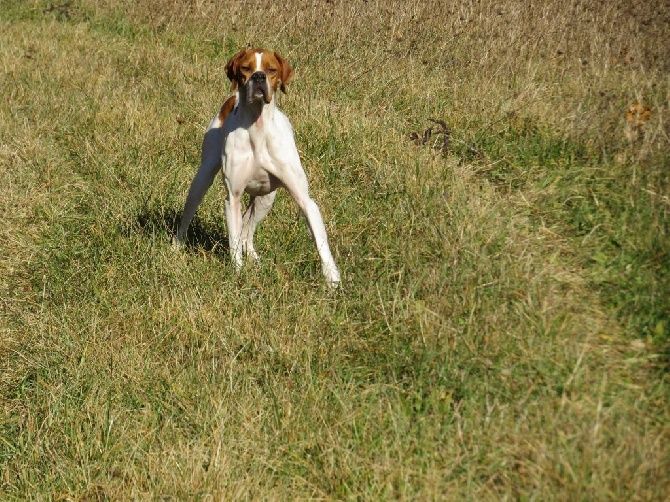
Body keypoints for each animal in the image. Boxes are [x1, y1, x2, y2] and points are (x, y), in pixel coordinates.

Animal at [175, 49, 342, 288]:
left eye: (271, 69)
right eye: (246, 68)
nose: (259, 76)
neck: (258, 127)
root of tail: (231, 99)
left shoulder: (304, 199)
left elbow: (320, 240)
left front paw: (332, 278)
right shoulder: (233, 198)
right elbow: (234, 240)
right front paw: (238, 273)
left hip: (266, 199)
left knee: (248, 230)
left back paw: (254, 258)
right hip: (202, 179)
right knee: (190, 215)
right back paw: (177, 246)